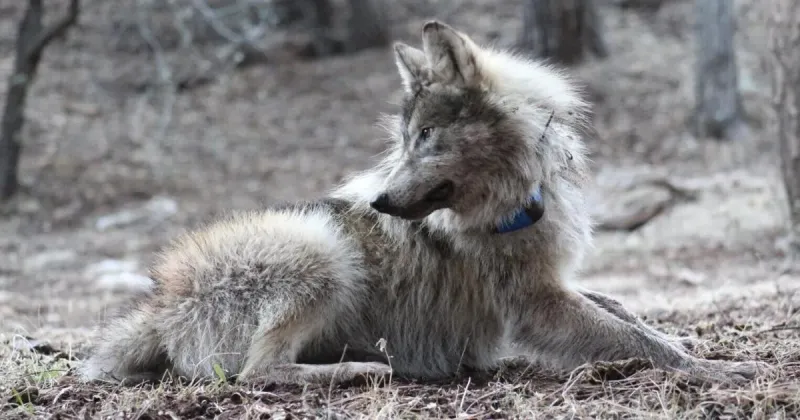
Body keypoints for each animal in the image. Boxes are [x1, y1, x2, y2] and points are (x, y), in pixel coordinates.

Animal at [79, 20, 767, 386]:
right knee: (259, 373)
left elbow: (629, 314)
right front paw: (718, 371)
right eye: (405, 140)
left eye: (428, 137)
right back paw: (358, 370)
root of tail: (159, 303)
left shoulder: (555, 282)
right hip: (323, 253)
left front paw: (695, 344)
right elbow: (632, 339)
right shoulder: (538, 304)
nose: (379, 201)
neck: (514, 201)